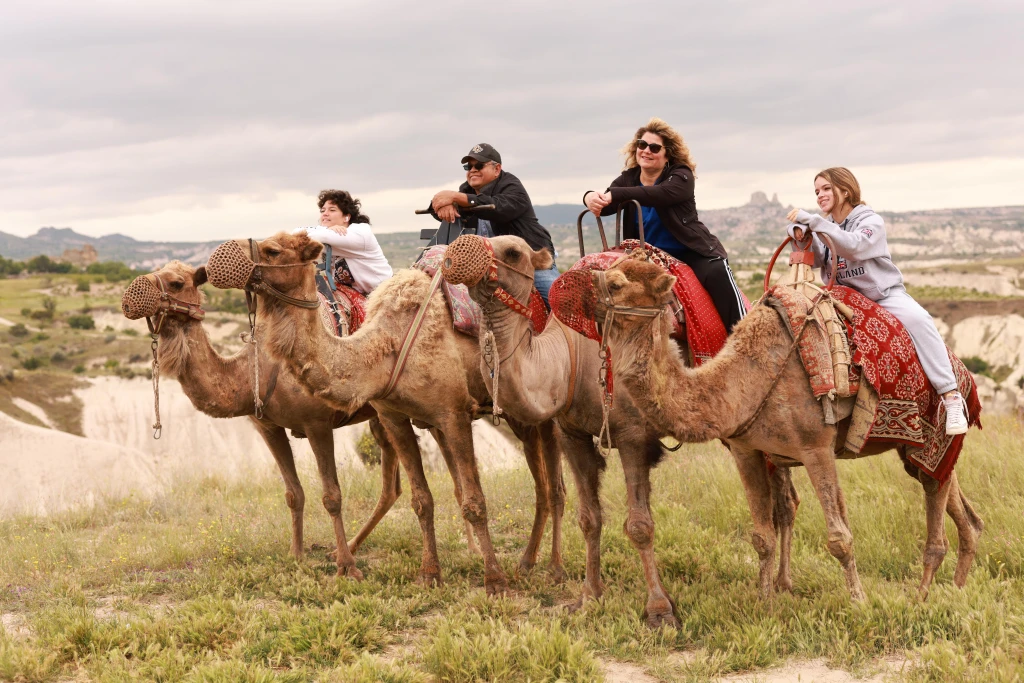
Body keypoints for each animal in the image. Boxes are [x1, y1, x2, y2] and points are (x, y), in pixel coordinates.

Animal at [121, 260, 417, 578]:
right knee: (391, 487)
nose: (130, 296)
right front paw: (296, 556)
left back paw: (347, 553)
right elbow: (293, 493)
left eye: (176, 282)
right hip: (381, 414)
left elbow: (332, 496)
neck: (257, 368)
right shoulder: (267, 426)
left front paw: (348, 568)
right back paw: (345, 547)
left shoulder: (317, 424)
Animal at [205, 233, 566, 595]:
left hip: (537, 406)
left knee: (552, 488)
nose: (221, 256)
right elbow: (422, 500)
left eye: (273, 250)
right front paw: (429, 574)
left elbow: (475, 501)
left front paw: (495, 581)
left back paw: (548, 567)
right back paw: (528, 562)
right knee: (542, 486)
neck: (386, 347)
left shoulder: (453, 413)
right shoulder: (394, 417)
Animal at [441, 234, 798, 627]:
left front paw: (659, 610)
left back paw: (782, 584)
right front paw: (588, 596)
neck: (572, 358)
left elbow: (640, 526)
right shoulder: (572, 434)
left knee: (785, 499)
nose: (457, 252)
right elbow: (589, 519)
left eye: (513, 252)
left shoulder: (633, 436)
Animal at [591, 256, 984, 600]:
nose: (585, 285)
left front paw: (858, 600)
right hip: (914, 449)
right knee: (954, 496)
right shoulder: (747, 450)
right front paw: (764, 600)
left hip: (933, 428)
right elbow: (762, 536)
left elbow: (839, 538)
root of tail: (963, 371)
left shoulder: (816, 448)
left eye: (616, 283)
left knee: (935, 498)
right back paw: (958, 587)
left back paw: (923, 596)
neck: (749, 376)